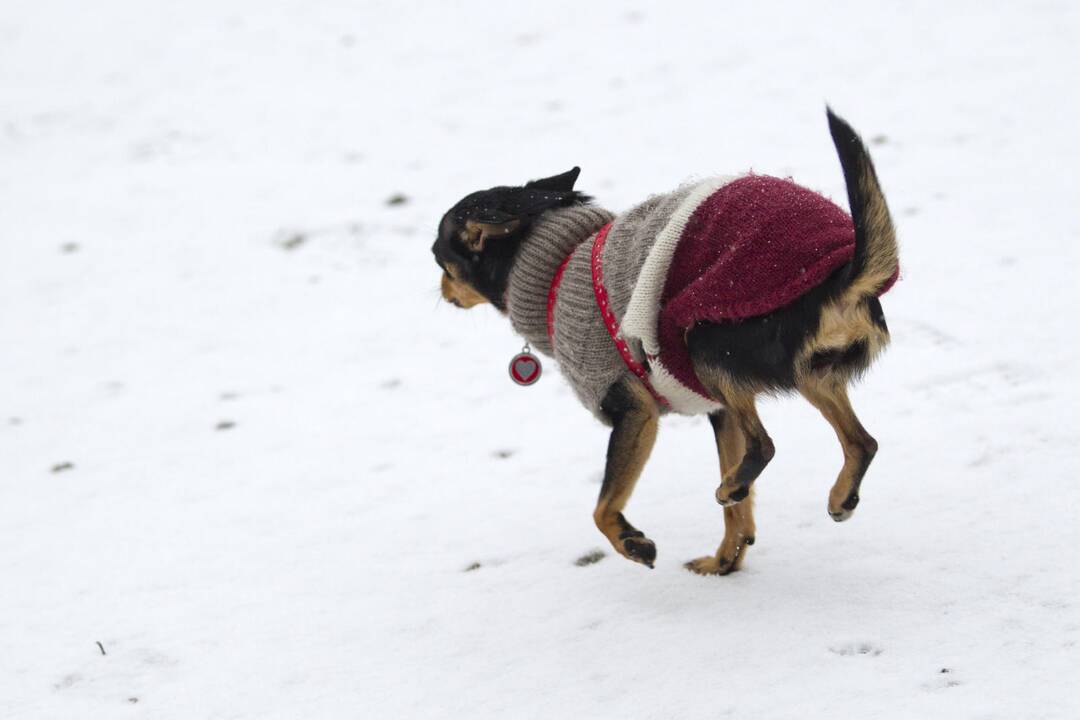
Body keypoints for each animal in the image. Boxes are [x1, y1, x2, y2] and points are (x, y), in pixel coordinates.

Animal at [429, 110, 894, 578]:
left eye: (440, 261)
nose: (441, 289)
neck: (556, 267)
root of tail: (844, 274)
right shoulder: (720, 411)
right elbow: (740, 516)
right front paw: (727, 558)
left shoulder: (634, 412)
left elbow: (602, 508)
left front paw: (632, 542)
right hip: (812, 374)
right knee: (861, 443)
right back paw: (831, 495)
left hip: (706, 343)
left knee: (765, 445)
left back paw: (731, 487)